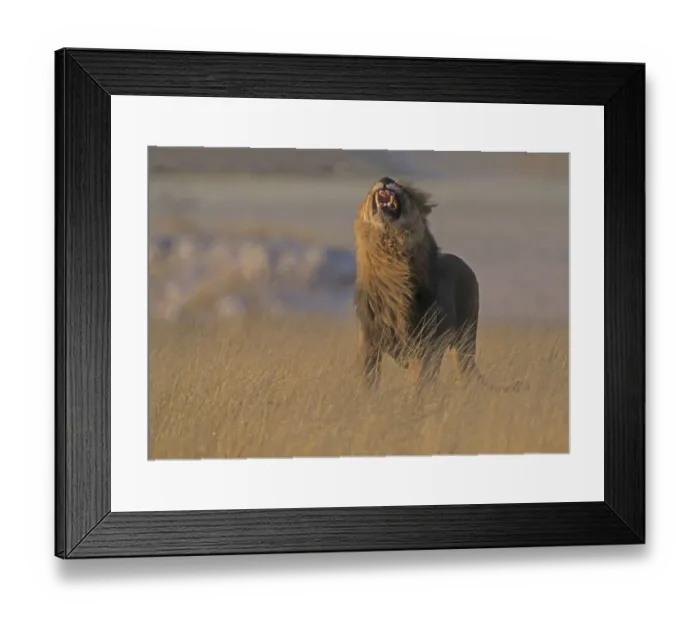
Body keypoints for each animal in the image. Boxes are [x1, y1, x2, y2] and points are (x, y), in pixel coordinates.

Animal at [353, 176, 526, 393]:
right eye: (371, 190)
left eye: (402, 188)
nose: (385, 179)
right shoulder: (369, 342)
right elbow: (368, 381)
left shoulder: (423, 345)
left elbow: (418, 383)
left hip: (465, 337)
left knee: (463, 369)